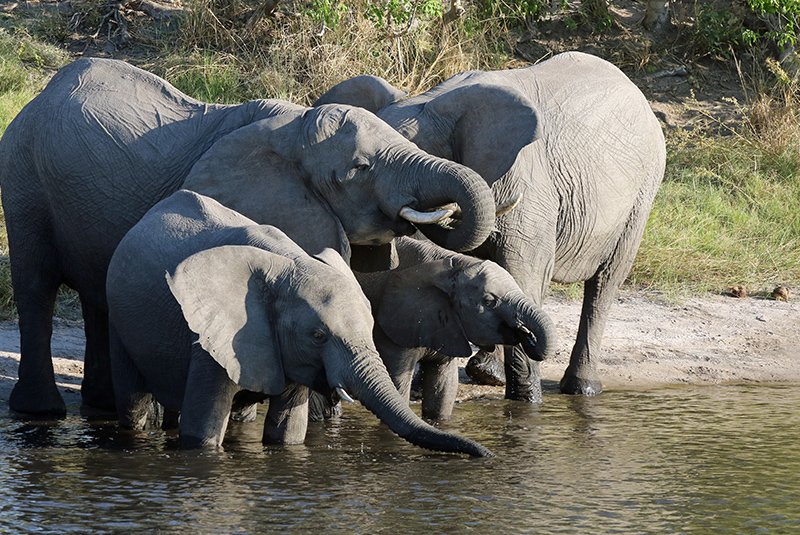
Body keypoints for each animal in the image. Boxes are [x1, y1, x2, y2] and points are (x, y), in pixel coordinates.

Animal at [0, 57, 497, 416]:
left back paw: (100, 407)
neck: (295, 127)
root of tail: (40, 96)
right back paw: (41, 412)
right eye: (359, 169)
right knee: (36, 286)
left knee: (97, 299)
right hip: (23, 178)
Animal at [106, 189, 492, 456]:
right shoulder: (215, 339)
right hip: (117, 315)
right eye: (318, 335)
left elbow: (288, 433)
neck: (287, 265)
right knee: (132, 401)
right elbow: (202, 435)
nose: (485, 454)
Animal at [315, 51, 667, 401]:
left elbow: (523, 271)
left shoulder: (530, 186)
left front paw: (525, 400)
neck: (433, 102)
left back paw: (581, 388)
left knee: (605, 282)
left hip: (643, 192)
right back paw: (487, 373)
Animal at [354, 236, 557, 421]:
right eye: (489, 302)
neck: (455, 266)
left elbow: (444, 389)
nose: (526, 332)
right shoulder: (396, 324)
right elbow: (397, 384)